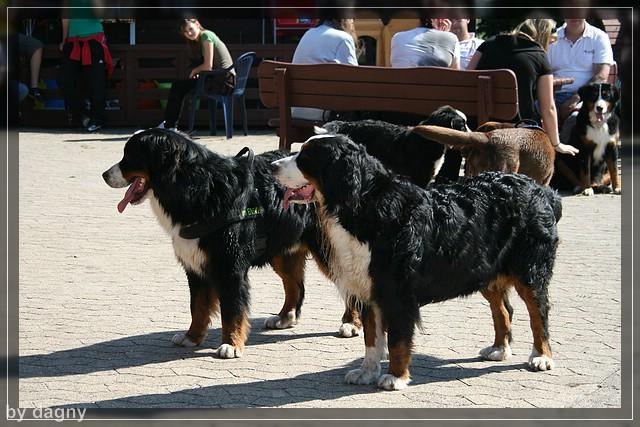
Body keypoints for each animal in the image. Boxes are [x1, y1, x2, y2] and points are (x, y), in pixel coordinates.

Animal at [103, 129, 322, 360]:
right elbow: (198, 307)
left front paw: (231, 344)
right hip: (283, 251)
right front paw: (191, 337)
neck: (198, 189)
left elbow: (232, 310)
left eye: (130, 156)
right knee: (295, 285)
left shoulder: (230, 267)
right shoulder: (195, 266)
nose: (104, 175)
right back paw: (285, 317)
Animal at [272, 135, 564, 392]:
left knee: (539, 314)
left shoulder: (397, 293)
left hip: (530, 271)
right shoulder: (370, 290)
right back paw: (499, 349)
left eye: (306, 157)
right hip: (484, 270)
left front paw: (395, 377)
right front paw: (367, 372)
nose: (273, 166)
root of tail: (541, 190)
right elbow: (372, 339)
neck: (364, 207)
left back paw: (541, 356)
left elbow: (398, 341)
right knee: (503, 310)